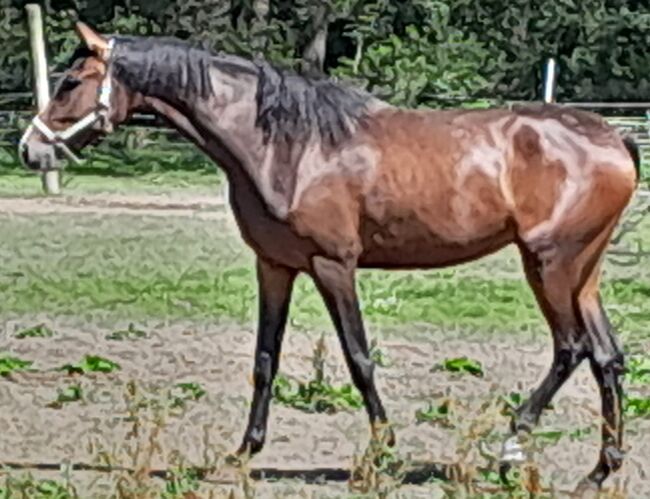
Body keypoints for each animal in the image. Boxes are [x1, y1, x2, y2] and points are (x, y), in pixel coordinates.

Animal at [19, 22, 636, 492]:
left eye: (71, 81)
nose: (30, 149)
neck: (288, 147)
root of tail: (614, 139)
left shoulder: (333, 265)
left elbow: (358, 358)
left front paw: (381, 454)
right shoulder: (274, 266)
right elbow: (264, 360)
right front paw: (243, 453)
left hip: (548, 264)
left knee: (571, 348)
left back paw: (513, 445)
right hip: (582, 272)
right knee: (607, 356)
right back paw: (599, 471)